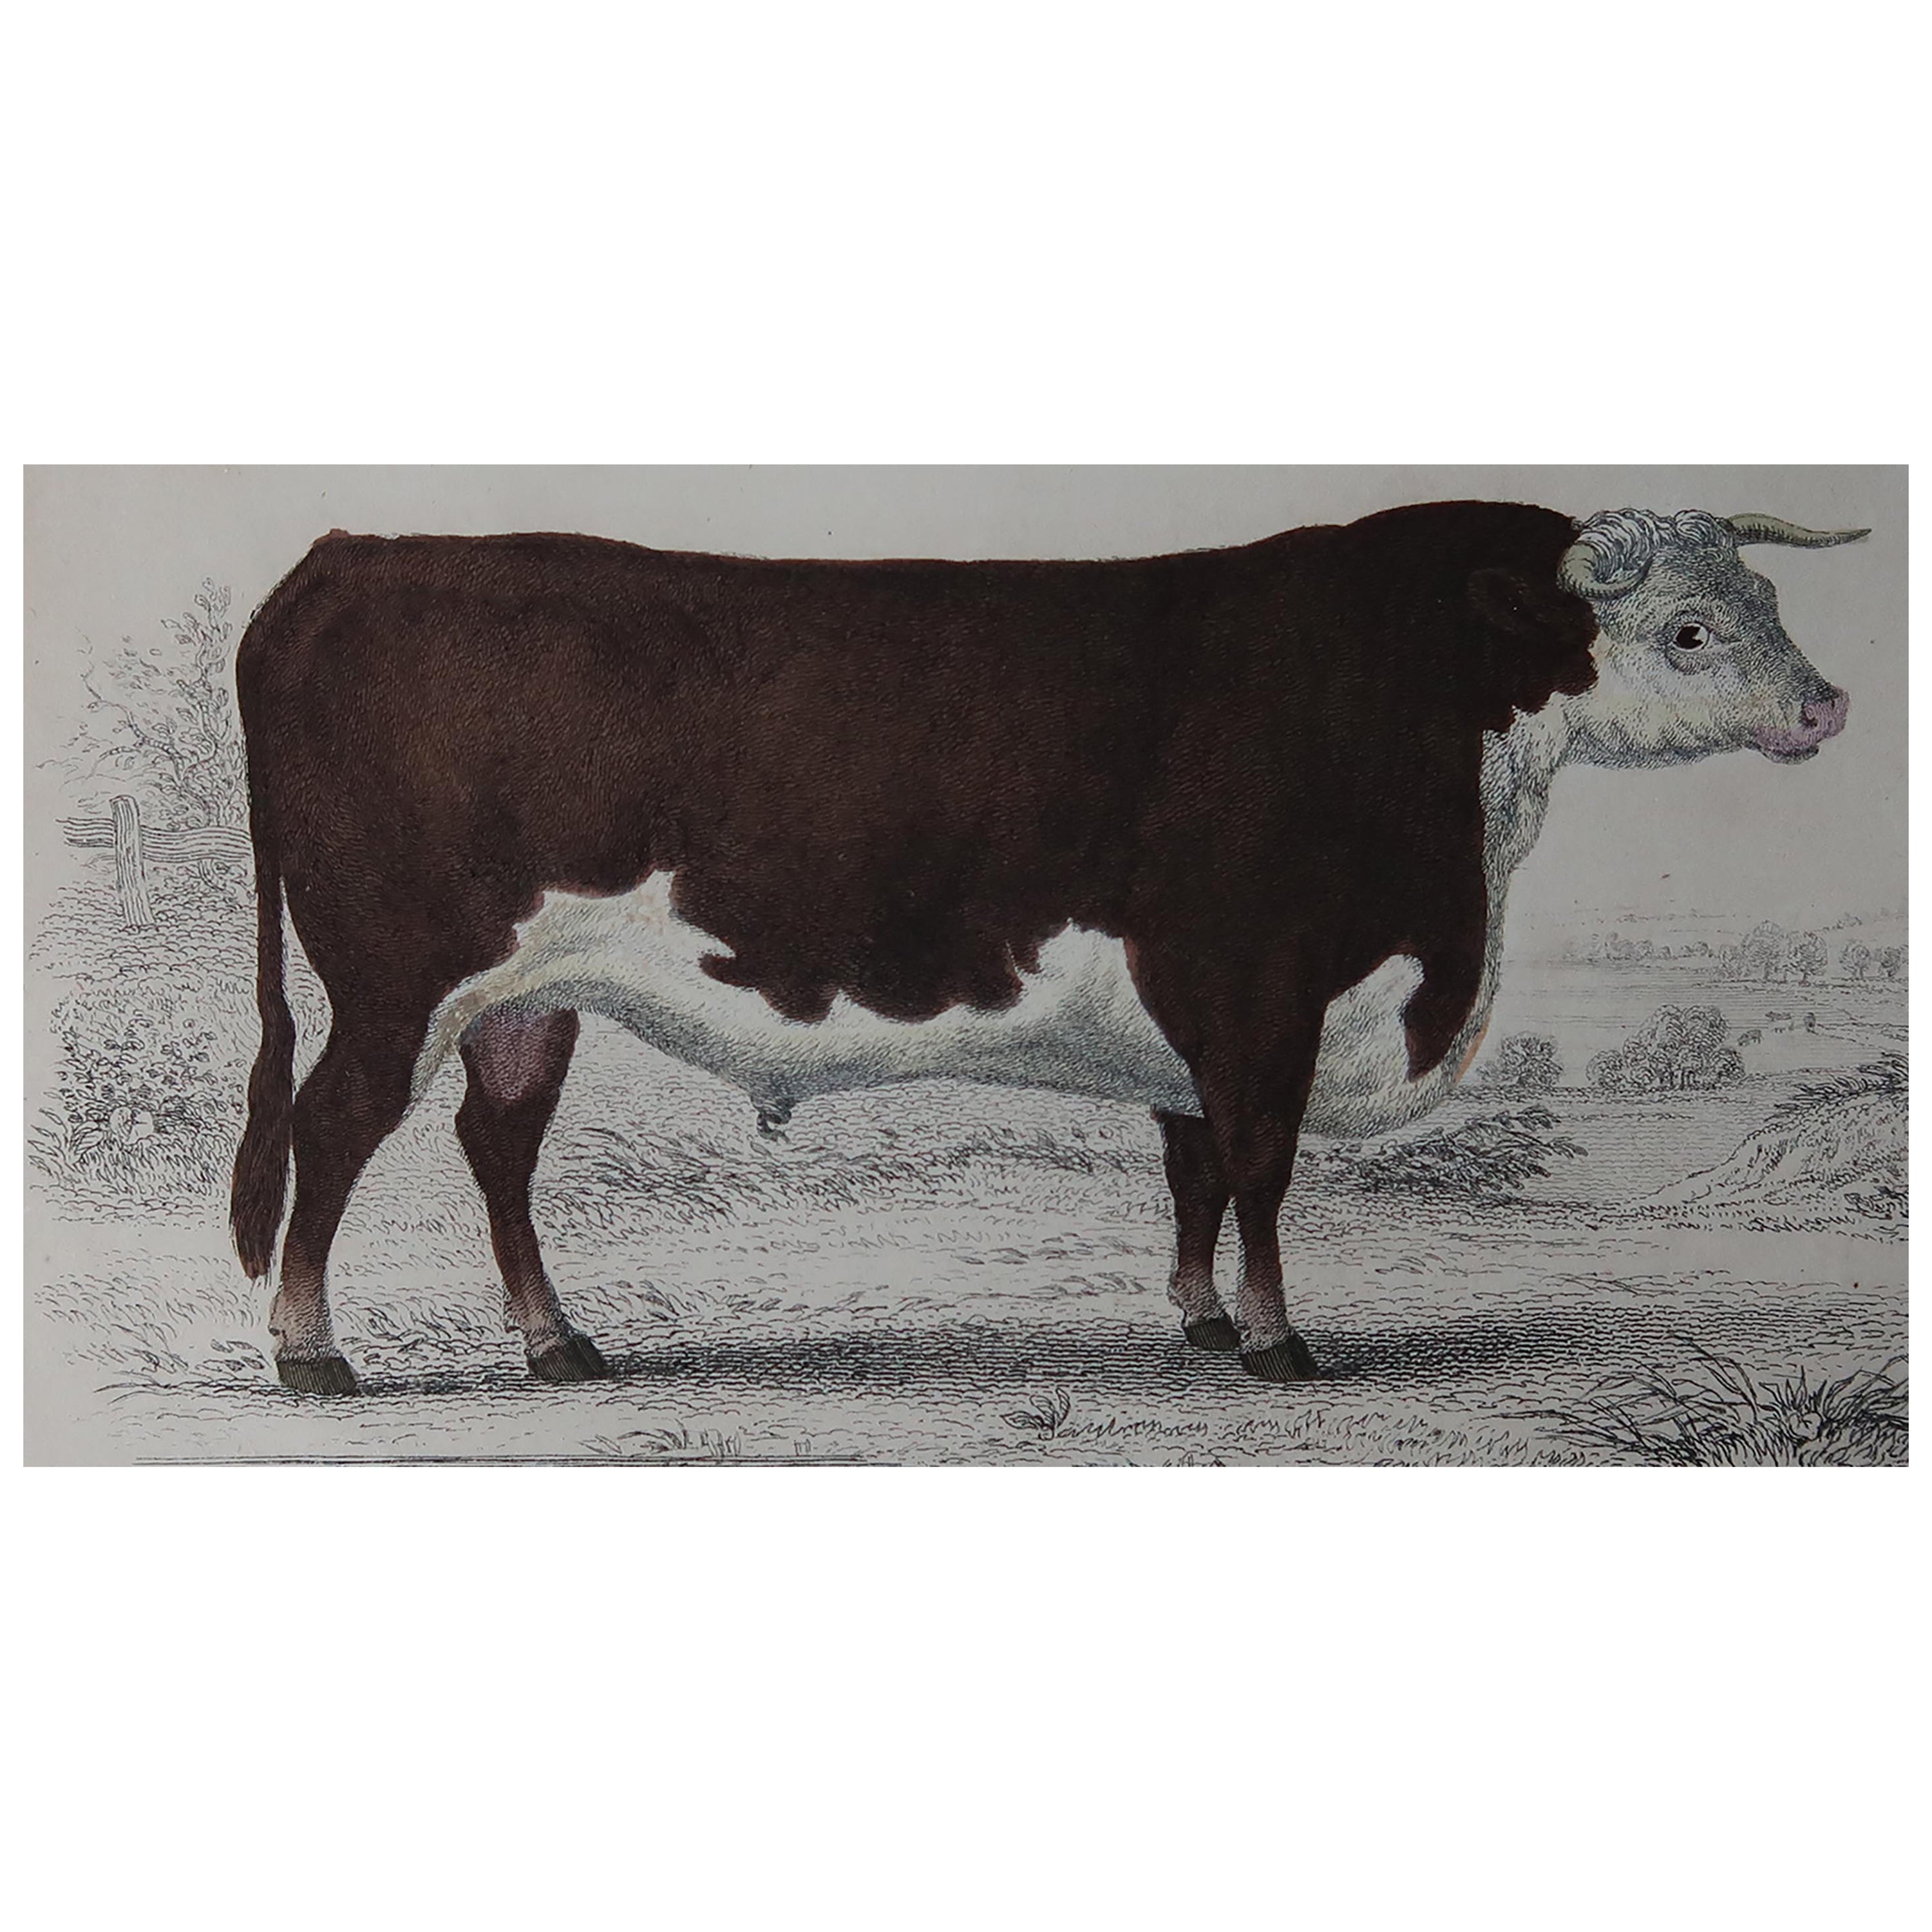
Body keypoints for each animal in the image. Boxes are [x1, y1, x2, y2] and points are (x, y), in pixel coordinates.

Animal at [228, 500, 1863, 1394]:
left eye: (1763, 598)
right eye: (1690, 632)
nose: (1829, 704)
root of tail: (344, 558)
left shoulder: (1197, 1017)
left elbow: (1193, 1164)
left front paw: (1200, 1317)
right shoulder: (1252, 982)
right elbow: (1259, 1167)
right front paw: (1276, 1338)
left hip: (529, 992)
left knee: (495, 1148)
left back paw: (556, 1341)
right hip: (397, 973)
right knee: (332, 1126)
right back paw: (311, 1352)